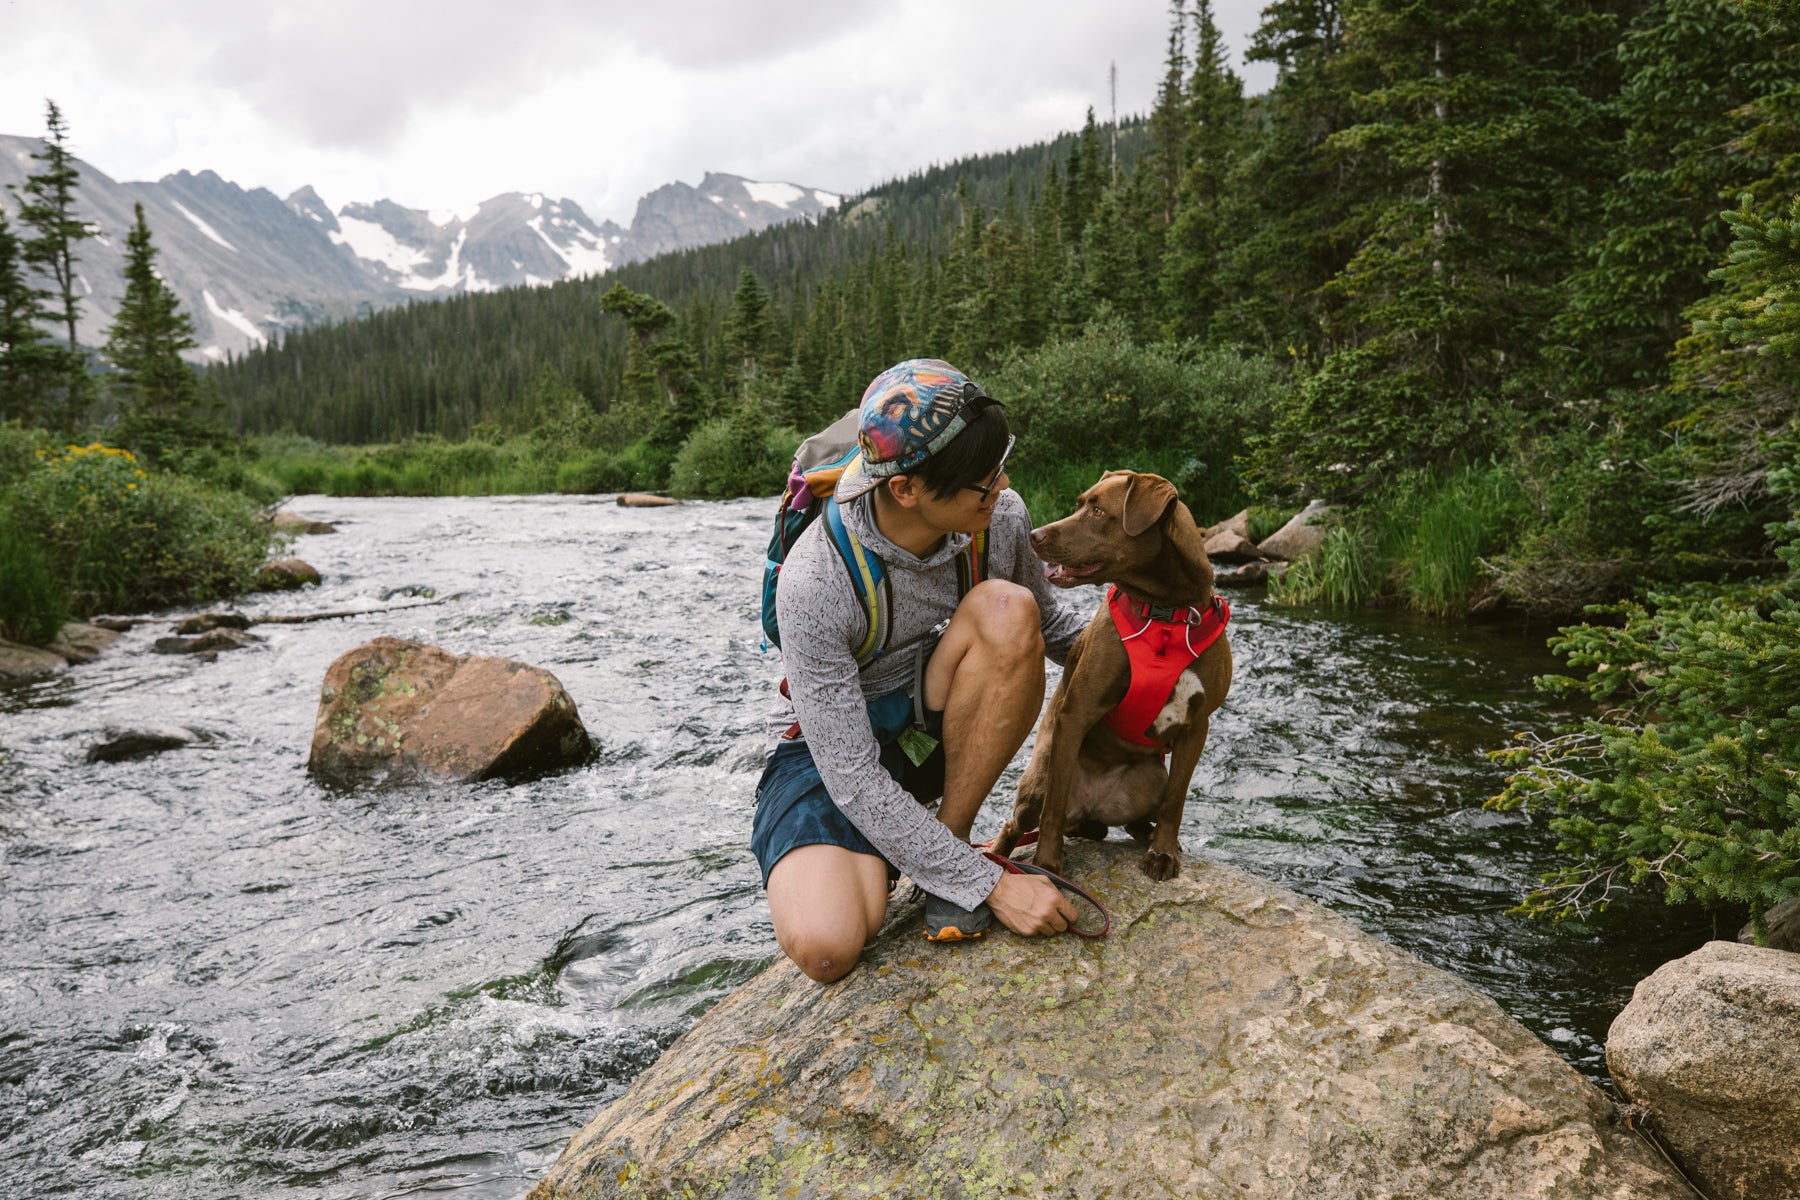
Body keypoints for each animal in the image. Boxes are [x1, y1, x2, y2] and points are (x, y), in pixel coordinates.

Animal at [993, 471, 1231, 881]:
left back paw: (1146, 834)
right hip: (1037, 778)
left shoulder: (1197, 725)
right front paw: (1048, 866)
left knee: (1137, 816)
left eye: (1099, 511)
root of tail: (1093, 808)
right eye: (1080, 504)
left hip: (1153, 778)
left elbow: (1176, 800)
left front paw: (1164, 852)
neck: (1165, 615)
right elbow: (1054, 806)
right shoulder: (1076, 712)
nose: (1035, 535)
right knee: (1020, 823)